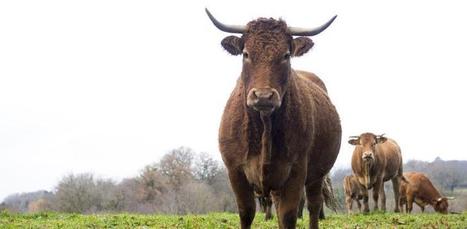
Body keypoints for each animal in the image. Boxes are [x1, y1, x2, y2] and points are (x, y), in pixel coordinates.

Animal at [207, 8, 342, 228]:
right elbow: (246, 213)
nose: (263, 96)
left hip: (317, 175)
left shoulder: (296, 171)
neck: (264, 127)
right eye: (246, 54)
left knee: (314, 205)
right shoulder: (235, 172)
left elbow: (288, 216)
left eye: (286, 55)